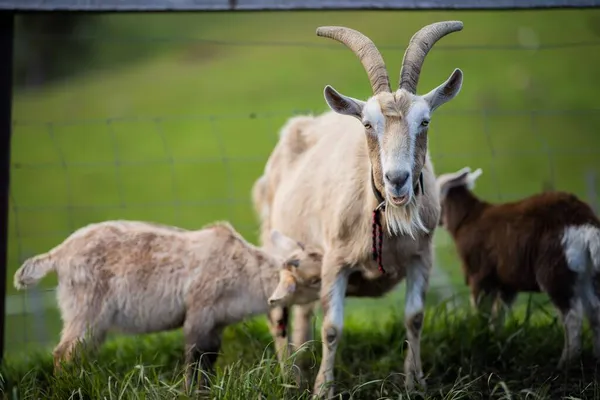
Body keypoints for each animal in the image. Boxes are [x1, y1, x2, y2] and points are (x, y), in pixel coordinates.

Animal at [12, 219, 324, 390]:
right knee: (63, 353)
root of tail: (58, 254)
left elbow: (208, 359)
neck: (245, 273)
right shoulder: (199, 311)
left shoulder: (216, 323)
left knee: (79, 353)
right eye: (315, 280)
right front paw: (191, 392)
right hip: (85, 307)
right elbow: (194, 359)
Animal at [253, 21, 464, 396]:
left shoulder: (421, 257)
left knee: (302, 314)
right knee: (279, 312)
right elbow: (332, 327)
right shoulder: (334, 261)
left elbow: (415, 319)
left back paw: (300, 370)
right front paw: (323, 390)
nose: (397, 179)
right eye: (367, 124)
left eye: (424, 121)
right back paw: (289, 378)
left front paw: (415, 383)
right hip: (276, 244)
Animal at [436, 166, 600, 368]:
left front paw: (480, 337)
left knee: (573, 316)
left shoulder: (479, 274)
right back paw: (595, 357)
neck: (467, 219)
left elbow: (482, 310)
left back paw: (565, 362)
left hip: (555, 268)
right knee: (594, 310)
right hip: (585, 272)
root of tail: (585, 222)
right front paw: (495, 340)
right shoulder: (507, 283)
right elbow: (500, 313)